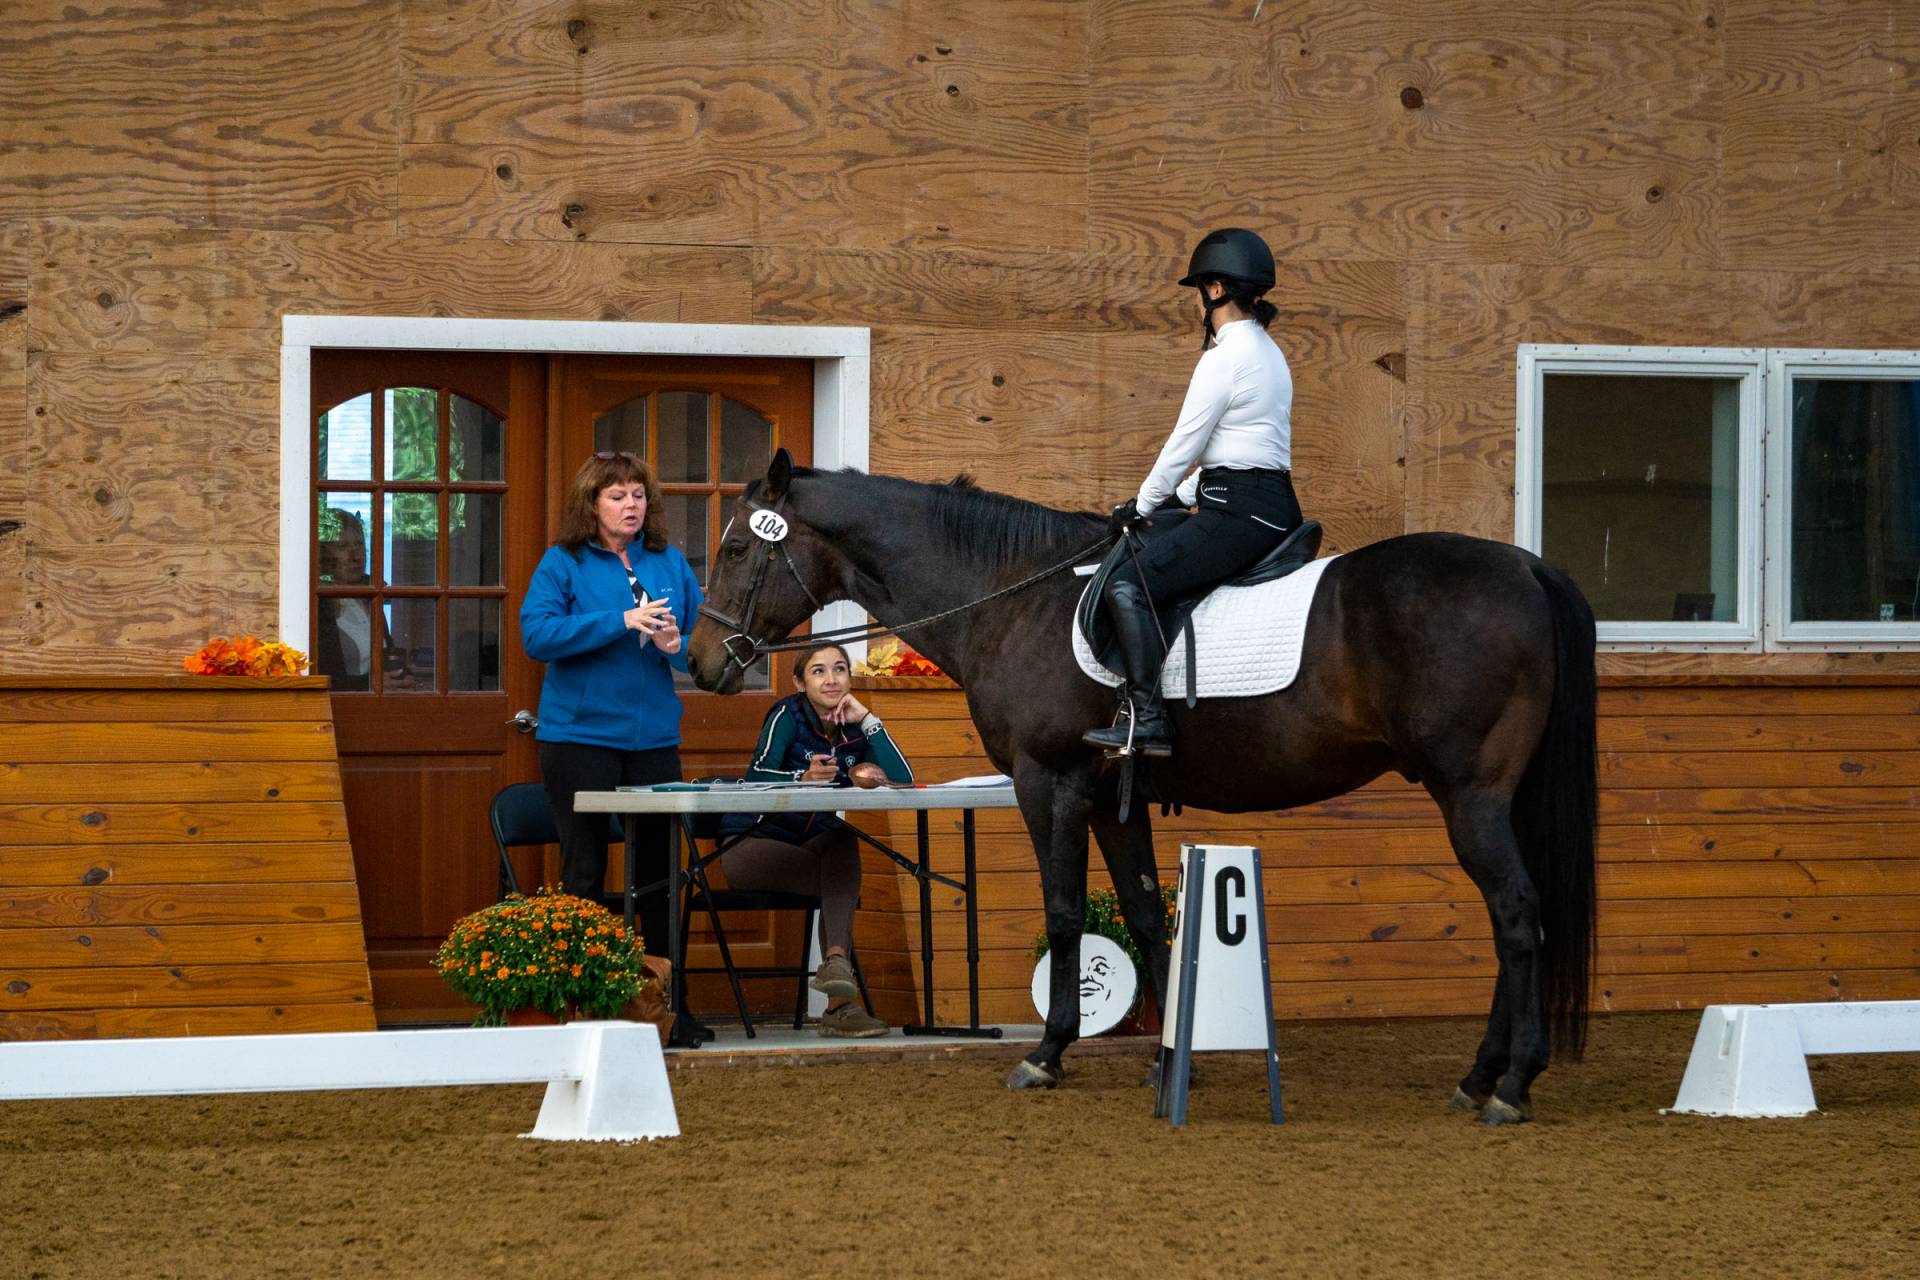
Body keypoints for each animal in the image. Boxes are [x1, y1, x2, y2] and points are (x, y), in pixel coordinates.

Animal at [686, 450, 1597, 1125]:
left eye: (735, 549)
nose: (699, 664)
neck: (1017, 599)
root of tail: (1526, 568)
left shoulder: (1049, 784)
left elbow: (1063, 912)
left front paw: (1047, 1054)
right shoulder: (1108, 798)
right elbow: (1150, 912)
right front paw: (1172, 1060)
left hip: (1471, 794)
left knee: (1517, 915)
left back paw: (1510, 1085)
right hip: (1495, 797)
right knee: (1519, 917)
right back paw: (1484, 1077)